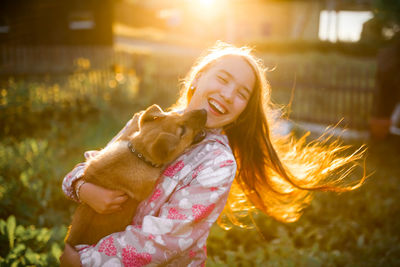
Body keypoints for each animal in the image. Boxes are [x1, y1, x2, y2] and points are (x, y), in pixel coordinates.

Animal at [65, 104, 206, 247]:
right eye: (182, 131)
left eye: (177, 115)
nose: (204, 111)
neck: (138, 155)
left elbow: (131, 133)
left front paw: (138, 118)